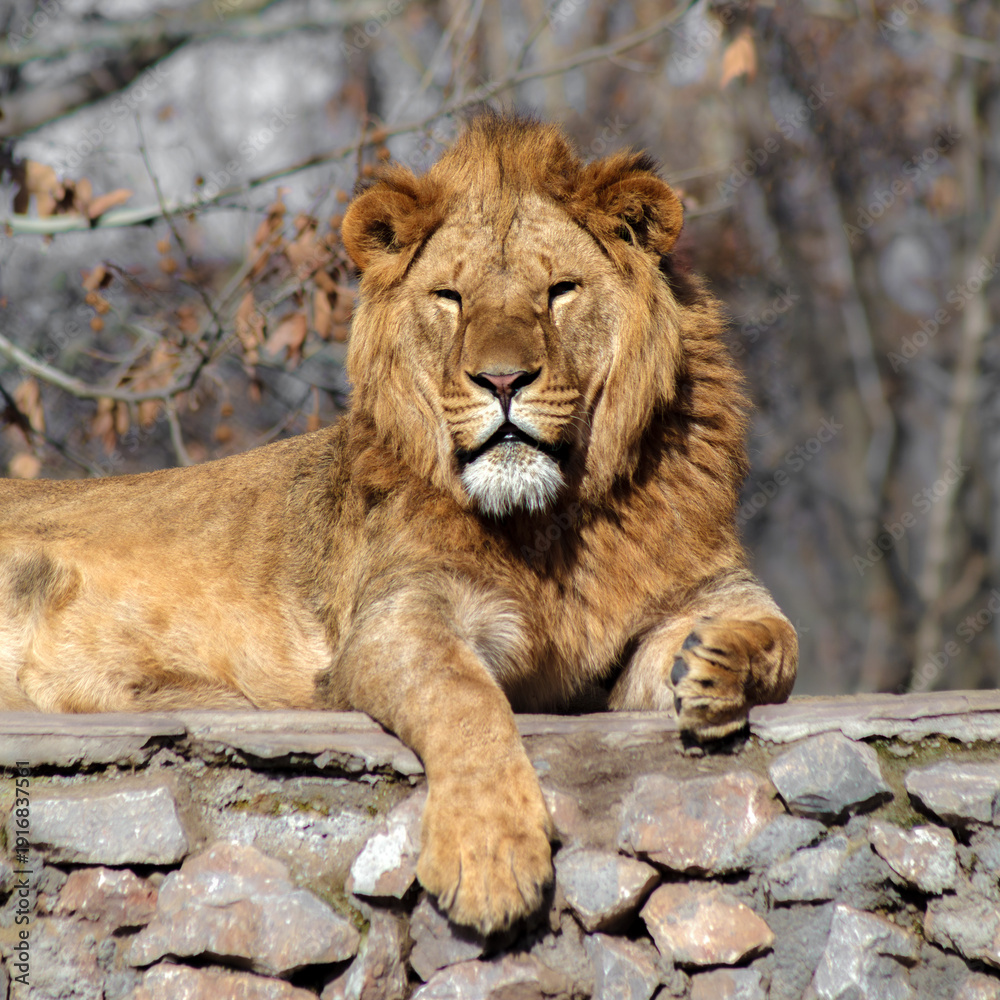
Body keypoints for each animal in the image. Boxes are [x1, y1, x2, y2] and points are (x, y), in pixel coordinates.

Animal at [0, 113, 796, 934]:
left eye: (559, 292)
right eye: (450, 297)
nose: (502, 379)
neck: (551, 520)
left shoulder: (709, 591)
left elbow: (779, 637)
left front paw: (718, 664)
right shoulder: (399, 615)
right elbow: (464, 698)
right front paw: (490, 855)